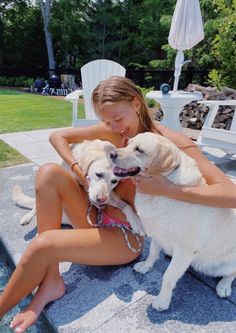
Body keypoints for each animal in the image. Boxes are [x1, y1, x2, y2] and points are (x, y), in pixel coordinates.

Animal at [13, 139, 146, 235]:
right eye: (98, 174)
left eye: (114, 181)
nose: (101, 200)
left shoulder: (109, 195)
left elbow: (126, 205)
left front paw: (136, 222)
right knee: (37, 205)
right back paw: (28, 218)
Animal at [110, 132, 236, 312]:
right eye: (128, 143)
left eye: (139, 150)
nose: (111, 154)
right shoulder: (157, 232)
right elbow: (152, 252)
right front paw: (146, 266)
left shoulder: (184, 250)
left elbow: (168, 276)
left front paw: (162, 301)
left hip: (221, 265)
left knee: (231, 274)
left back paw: (224, 286)